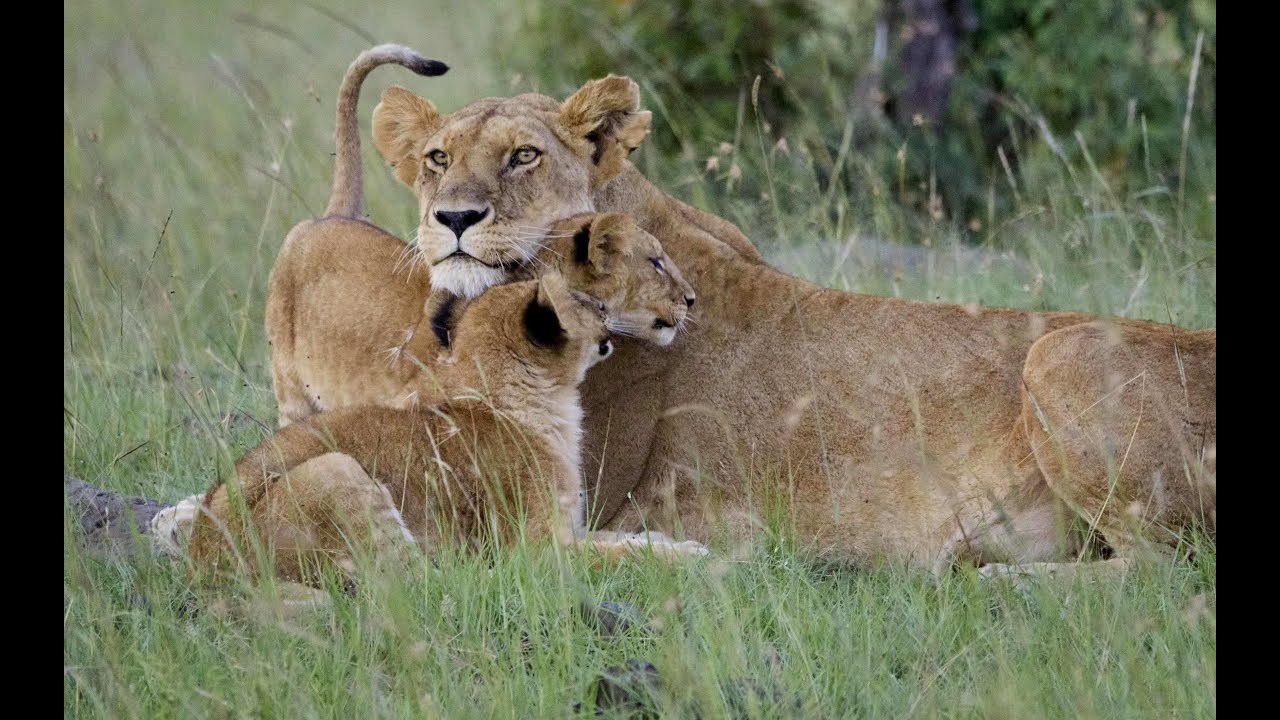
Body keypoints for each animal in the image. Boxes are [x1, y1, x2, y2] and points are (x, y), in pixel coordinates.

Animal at [189, 273, 704, 587]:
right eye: (584, 301)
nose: (603, 308)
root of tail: (203, 560)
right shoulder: (536, 550)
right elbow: (614, 555)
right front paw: (691, 557)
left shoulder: (567, 530)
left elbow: (614, 540)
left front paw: (668, 541)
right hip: (335, 472)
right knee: (413, 582)